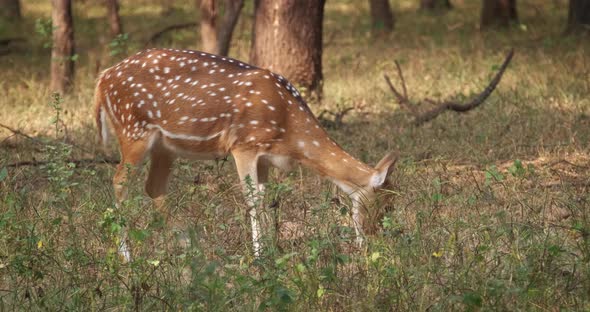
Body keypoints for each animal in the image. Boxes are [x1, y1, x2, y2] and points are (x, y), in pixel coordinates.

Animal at [95, 48, 398, 258]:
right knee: (119, 181)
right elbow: (252, 200)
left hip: (165, 146)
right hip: (133, 130)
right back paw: (127, 256)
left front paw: (273, 250)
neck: (290, 134)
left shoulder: (264, 156)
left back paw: (184, 249)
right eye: (386, 205)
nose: (376, 241)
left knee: (154, 187)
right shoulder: (244, 144)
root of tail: (102, 79)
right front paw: (259, 257)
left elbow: (263, 199)